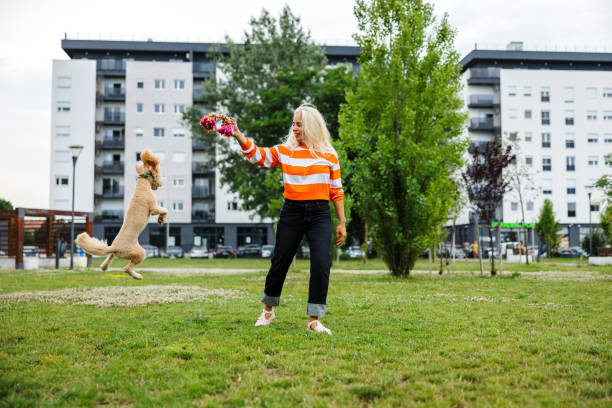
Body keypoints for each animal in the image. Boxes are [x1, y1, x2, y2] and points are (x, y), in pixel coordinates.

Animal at [76, 150, 167, 280]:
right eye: (159, 172)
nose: (162, 182)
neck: (142, 186)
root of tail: (114, 247)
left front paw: (161, 219)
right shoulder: (153, 208)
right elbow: (164, 209)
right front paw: (161, 219)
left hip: (115, 254)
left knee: (107, 261)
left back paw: (105, 267)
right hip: (140, 252)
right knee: (126, 268)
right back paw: (137, 276)